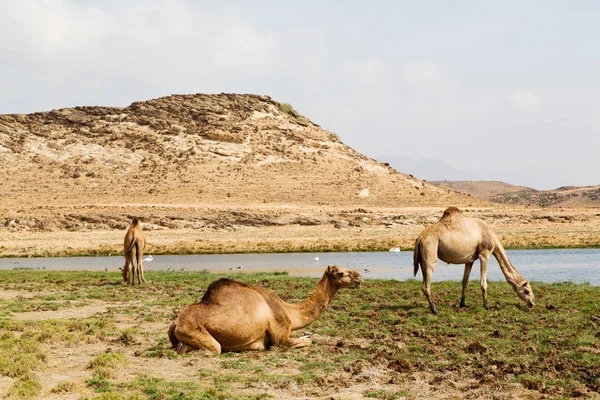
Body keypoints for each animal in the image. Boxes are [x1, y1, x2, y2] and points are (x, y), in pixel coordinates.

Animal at [170, 266, 366, 354]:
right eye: (340, 273)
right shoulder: (280, 337)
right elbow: (306, 342)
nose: (360, 277)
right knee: (213, 348)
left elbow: (308, 337)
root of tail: (175, 323)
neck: (289, 311)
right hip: (196, 332)